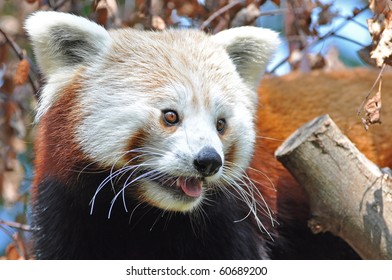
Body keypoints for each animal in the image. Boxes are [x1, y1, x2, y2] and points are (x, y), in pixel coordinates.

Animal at [26, 10, 390, 260]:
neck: (149, 215)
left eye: (220, 124)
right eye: (170, 116)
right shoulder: (69, 212)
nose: (208, 161)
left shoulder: (235, 219)